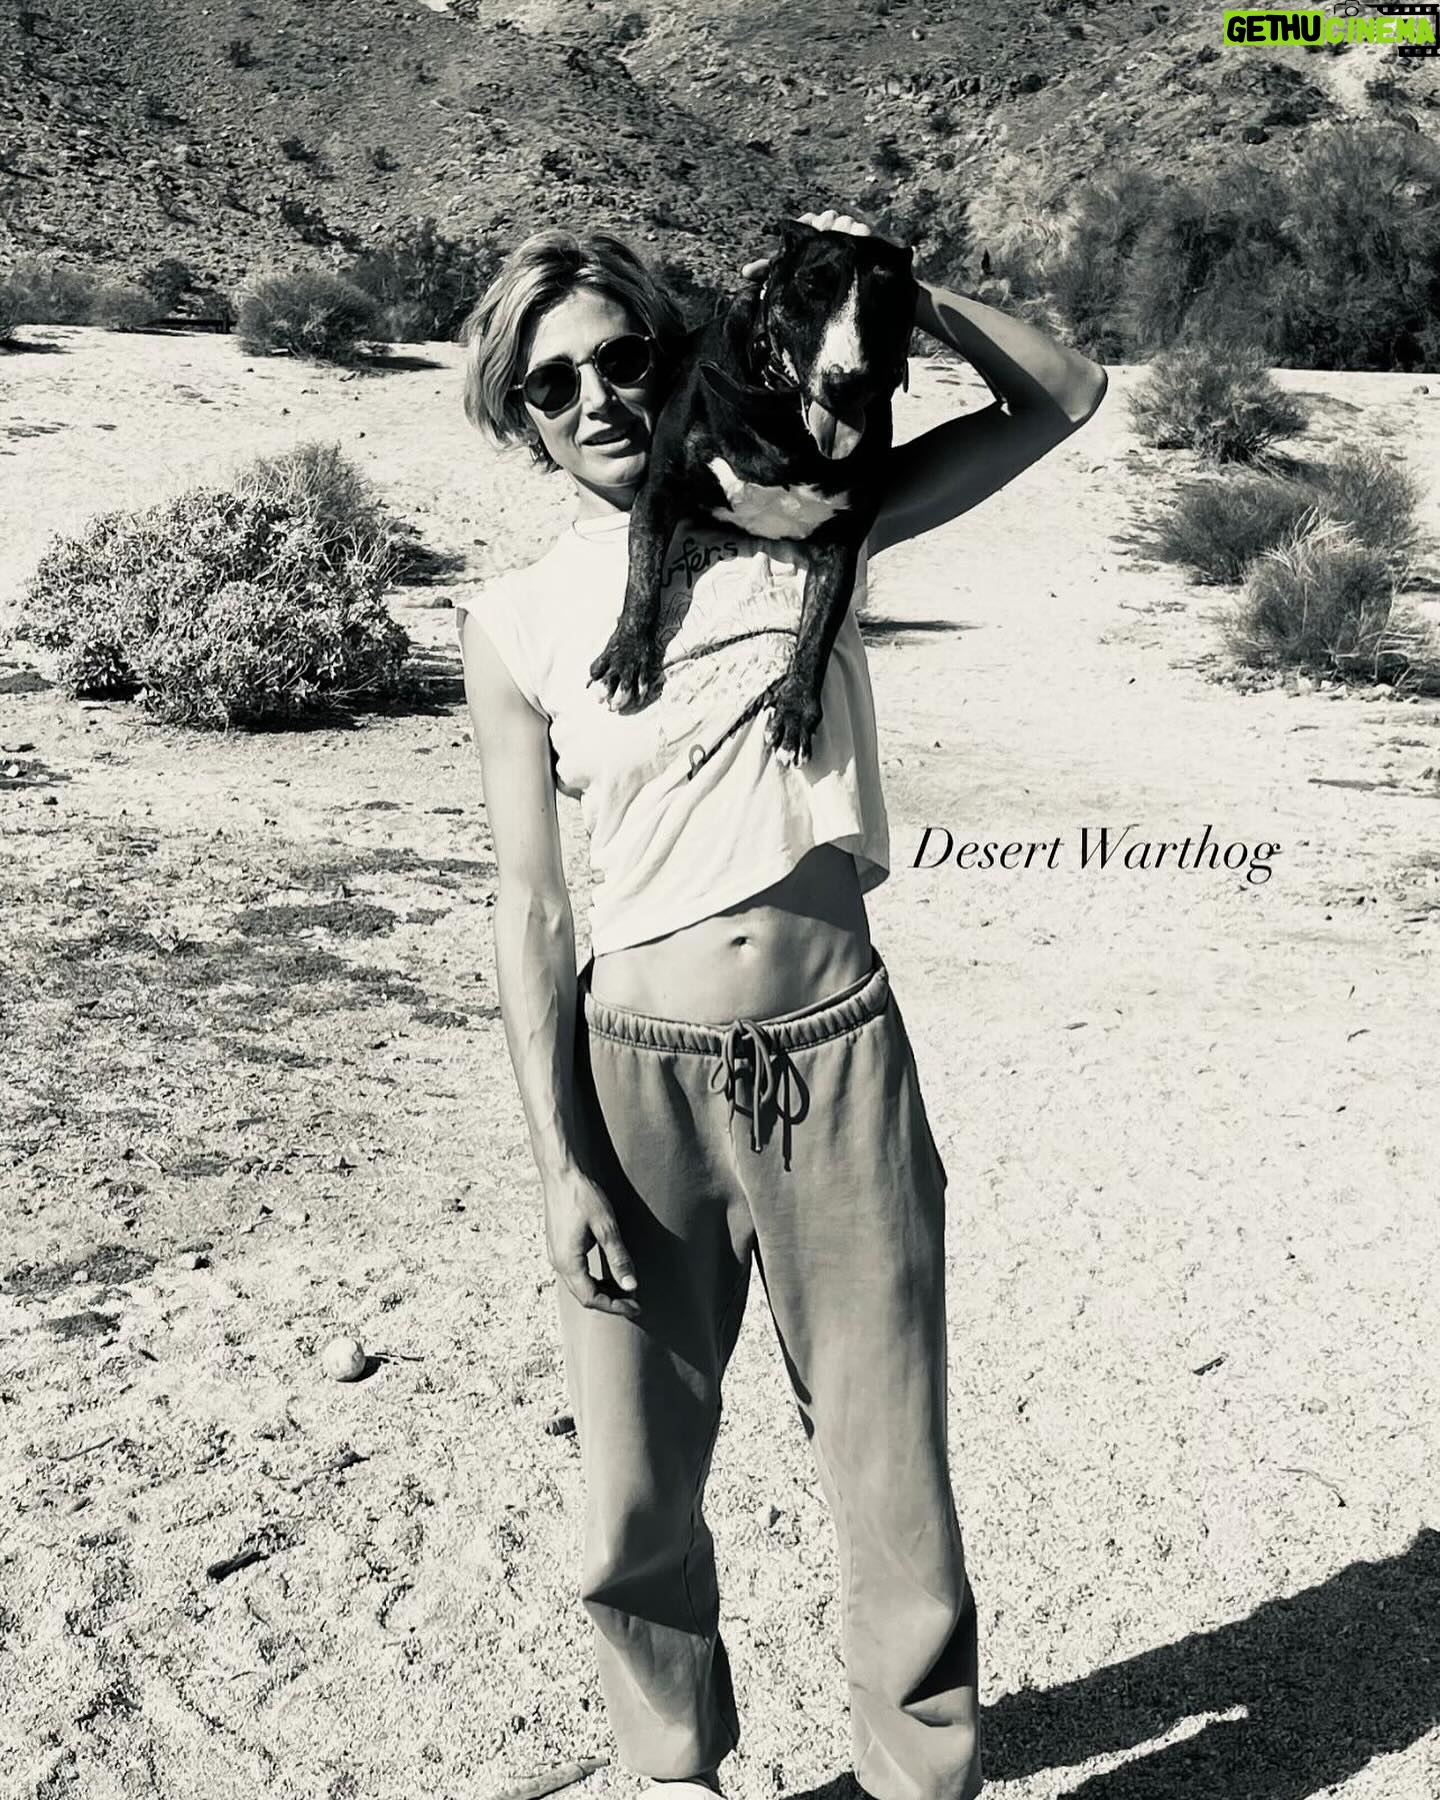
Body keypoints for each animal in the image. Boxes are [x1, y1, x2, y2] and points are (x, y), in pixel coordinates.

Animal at [587, 219, 916, 770]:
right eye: (813, 285)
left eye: (889, 297)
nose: (849, 383)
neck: (783, 425)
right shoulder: (659, 491)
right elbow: (643, 576)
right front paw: (627, 658)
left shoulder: (841, 544)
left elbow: (818, 629)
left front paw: (796, 710)